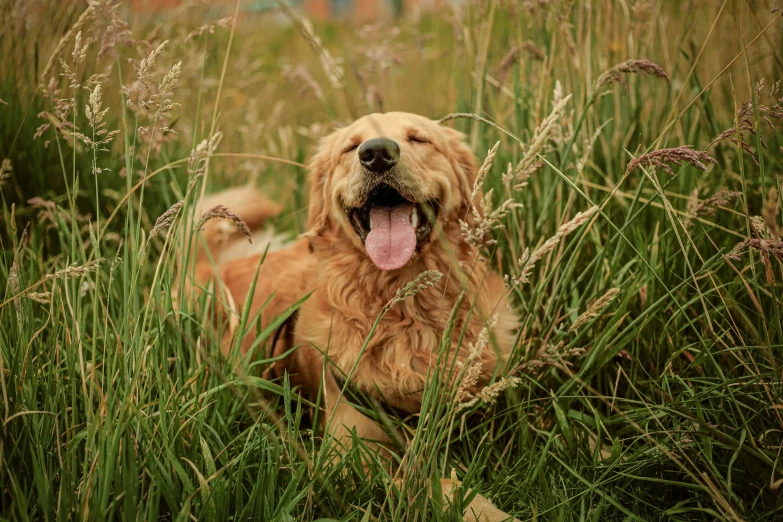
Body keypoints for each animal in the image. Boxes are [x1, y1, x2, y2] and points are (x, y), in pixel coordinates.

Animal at [196, 111, 516, 516]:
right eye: (351, 146)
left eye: (419, 139)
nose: (377, 153)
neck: (402, 309)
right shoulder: (348, 458)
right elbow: (431, 484)